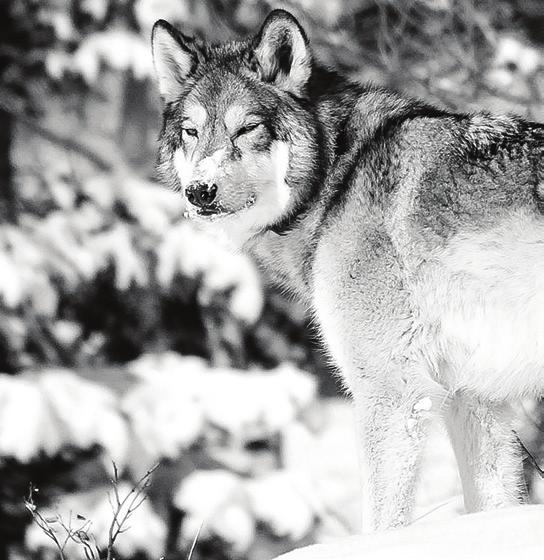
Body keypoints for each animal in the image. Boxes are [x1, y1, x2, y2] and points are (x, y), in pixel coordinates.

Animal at [151, 9, 544, 532]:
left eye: (247, 128)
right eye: (192, 133)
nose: (199, 191)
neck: (337, 178)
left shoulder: (392, 394)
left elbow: (380, 525)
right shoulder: (473, 397)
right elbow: (493, 505)